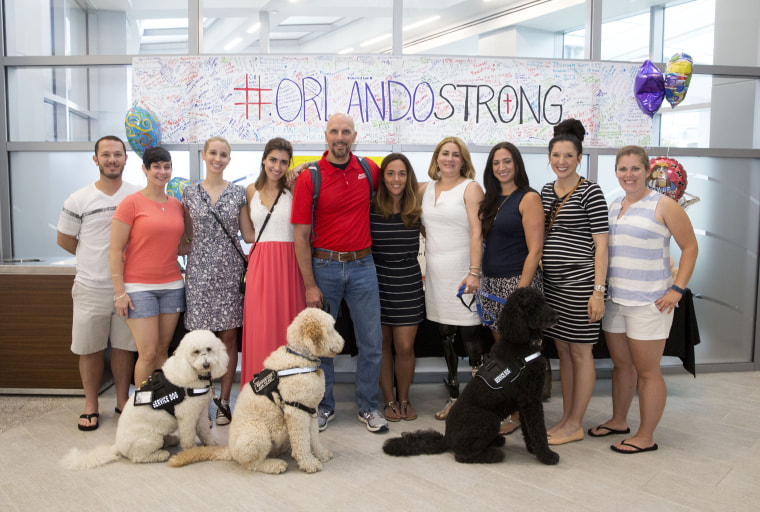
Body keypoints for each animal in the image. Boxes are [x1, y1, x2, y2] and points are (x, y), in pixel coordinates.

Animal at [61, 330, 229, 470]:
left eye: (209, 349)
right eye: (196, 352)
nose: (206, 364)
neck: (192, 373)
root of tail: (118, 446)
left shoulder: (200, 412)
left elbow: (204, 430)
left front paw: (210, 443)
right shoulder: (187, 417)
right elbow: (188, 437)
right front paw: (191, 452)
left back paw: (170, 440)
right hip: (150, 439)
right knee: (138, 457)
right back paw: (160, 454)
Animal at [169, 306, 344, 474]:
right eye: (331, 330)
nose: (343, 342)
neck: (300, 358)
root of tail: (230, 450)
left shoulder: (310, 409)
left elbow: (313, 437)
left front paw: (321, 454)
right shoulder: (296, 412)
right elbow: (302, 441)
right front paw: (309, 463)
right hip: (258, 432)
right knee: (252, 464)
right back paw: (274, 465)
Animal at [386, 288, 560, 464]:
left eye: (543, 301)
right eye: (532, 306)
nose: (556, 316)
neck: (520, 343)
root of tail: (447, 438)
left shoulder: (526, 400)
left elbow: (529, 429)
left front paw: (533, 449)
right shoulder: (531, 400)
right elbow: (538, 429)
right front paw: (547, 455)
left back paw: (496, 441)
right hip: (489, 419)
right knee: (463, 454)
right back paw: (493, 454)